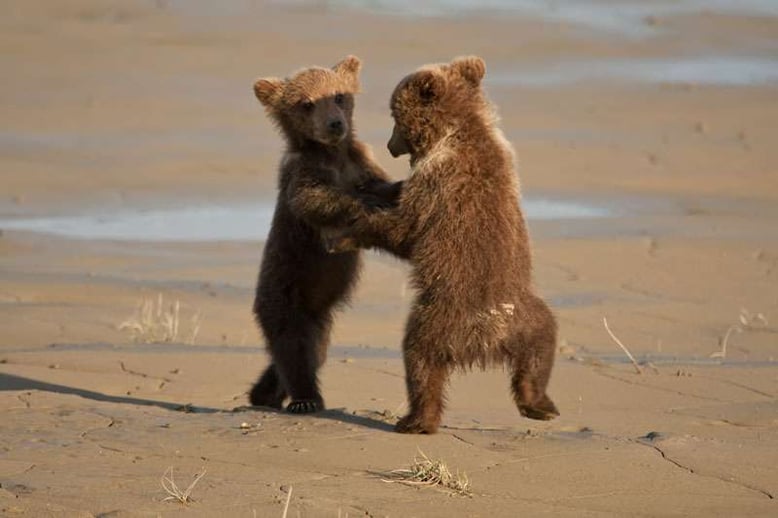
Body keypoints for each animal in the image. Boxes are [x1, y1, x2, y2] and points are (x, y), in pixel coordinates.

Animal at [249, 55, 401, 414]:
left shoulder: (361, 162)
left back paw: (265, 393)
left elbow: (380, 183)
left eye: (339, 96)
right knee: (292, 348)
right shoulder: (304, 174)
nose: (334, 124)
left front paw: (398, 189)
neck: (334, 155)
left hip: (319, 318)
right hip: (284, 292)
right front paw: (364, 203)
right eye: (306, 103)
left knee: (311, 352)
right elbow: (316, 200)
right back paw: (304, 399)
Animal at [336, 56, 559, 433]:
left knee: (420, 359)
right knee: (542, 346)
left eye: (395, 116)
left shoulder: (436, 180)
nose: (390, 145)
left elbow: (405, 230)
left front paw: (348, 230)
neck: (455, 131)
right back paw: (540, 404)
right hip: (527, 316)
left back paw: (415, 420)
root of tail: (489, 337)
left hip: (438, 318)